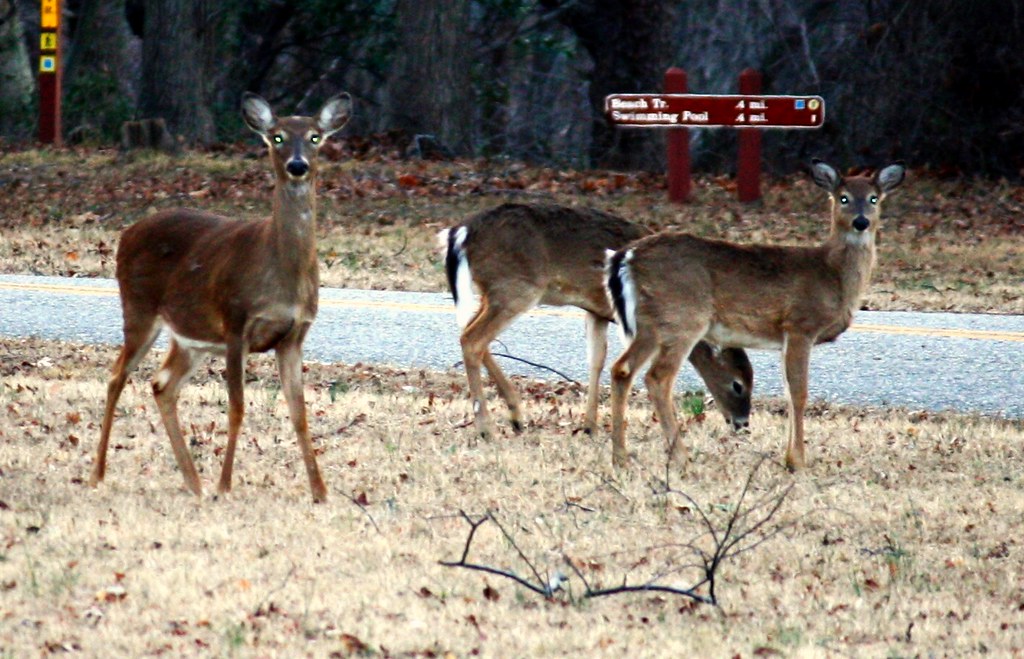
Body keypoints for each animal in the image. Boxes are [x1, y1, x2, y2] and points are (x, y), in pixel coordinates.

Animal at [89, 91, 353, 503]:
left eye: (314, 137)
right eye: (276, 137)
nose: (297, 166)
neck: (282, 273)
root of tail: (126, 232)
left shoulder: (294, 336)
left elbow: (300, 413)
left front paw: (320, 492)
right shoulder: (236, 322)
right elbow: (237, 408)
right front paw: (225, 485)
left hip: (190, 337)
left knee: (161, 384)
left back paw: (192, 482)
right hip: (138, 308)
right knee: (117, 376)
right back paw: (98, 474)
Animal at [438, 202, 755, 441]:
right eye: (738, 384)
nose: (742, 422)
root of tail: (460, 232)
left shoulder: (597, 312)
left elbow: (597, 359)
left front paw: (589, 426)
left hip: (494, 291)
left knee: (470, 334)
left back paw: (515, 415)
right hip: (516, 287)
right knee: (473, 339)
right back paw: (487, 428)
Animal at [605, 160, 906, 470]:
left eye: (873, 198)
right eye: (843, 198)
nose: (861, 222)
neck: (832, 275)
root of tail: (625, 257)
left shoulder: (786, 337)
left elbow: (788, 392)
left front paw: (789, 456)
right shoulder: (800, 324)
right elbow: (799, 393)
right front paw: (798, 461)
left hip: (652, 323)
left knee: (621, 369)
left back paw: (620, 457)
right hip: (683, 317)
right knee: (657, 377)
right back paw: (680, 456)